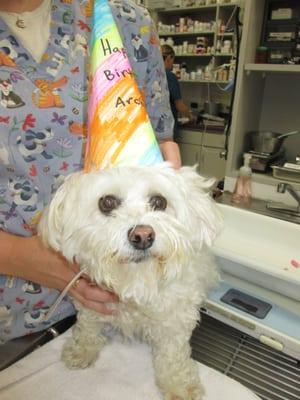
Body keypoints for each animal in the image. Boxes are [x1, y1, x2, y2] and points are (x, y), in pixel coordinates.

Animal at [37, 163, 221, 400]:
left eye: (159, 202)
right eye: (107, 202)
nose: (143, 236)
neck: (136, 284)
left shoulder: (175, 320)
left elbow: (173, 354)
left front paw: (179, 385)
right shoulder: (90, 302)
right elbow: (88, 325)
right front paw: (82, 349)